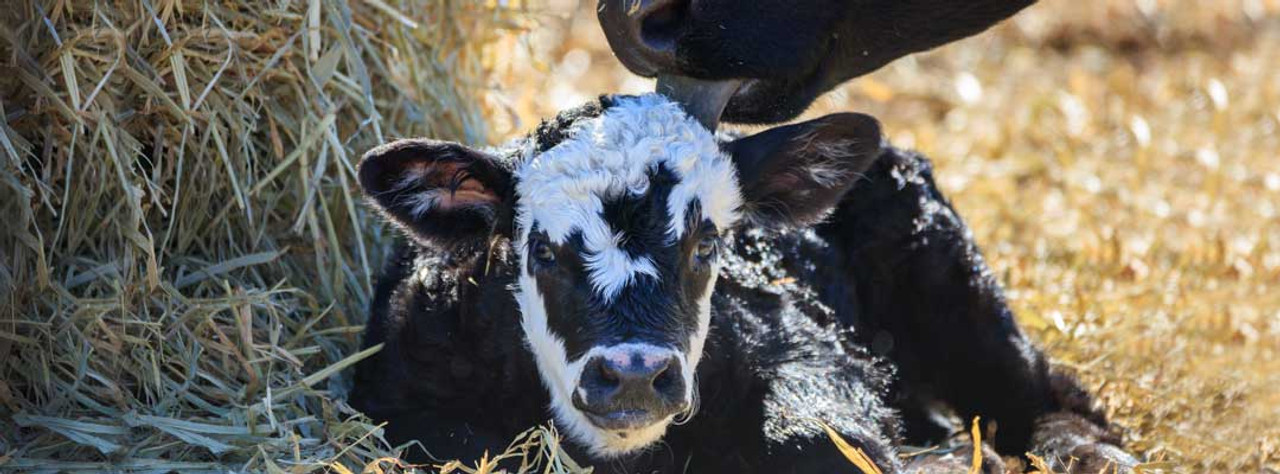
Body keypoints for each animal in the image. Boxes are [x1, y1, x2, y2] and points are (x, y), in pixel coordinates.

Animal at [349, 94, 1134, 472]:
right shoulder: (397, 397)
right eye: (539, 251)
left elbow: (818, 438)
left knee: (1047, 394)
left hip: (950, 281)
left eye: (708, 245)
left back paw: (1088, 455)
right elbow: (466, 446)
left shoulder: (809, 349)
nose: (634, 376)